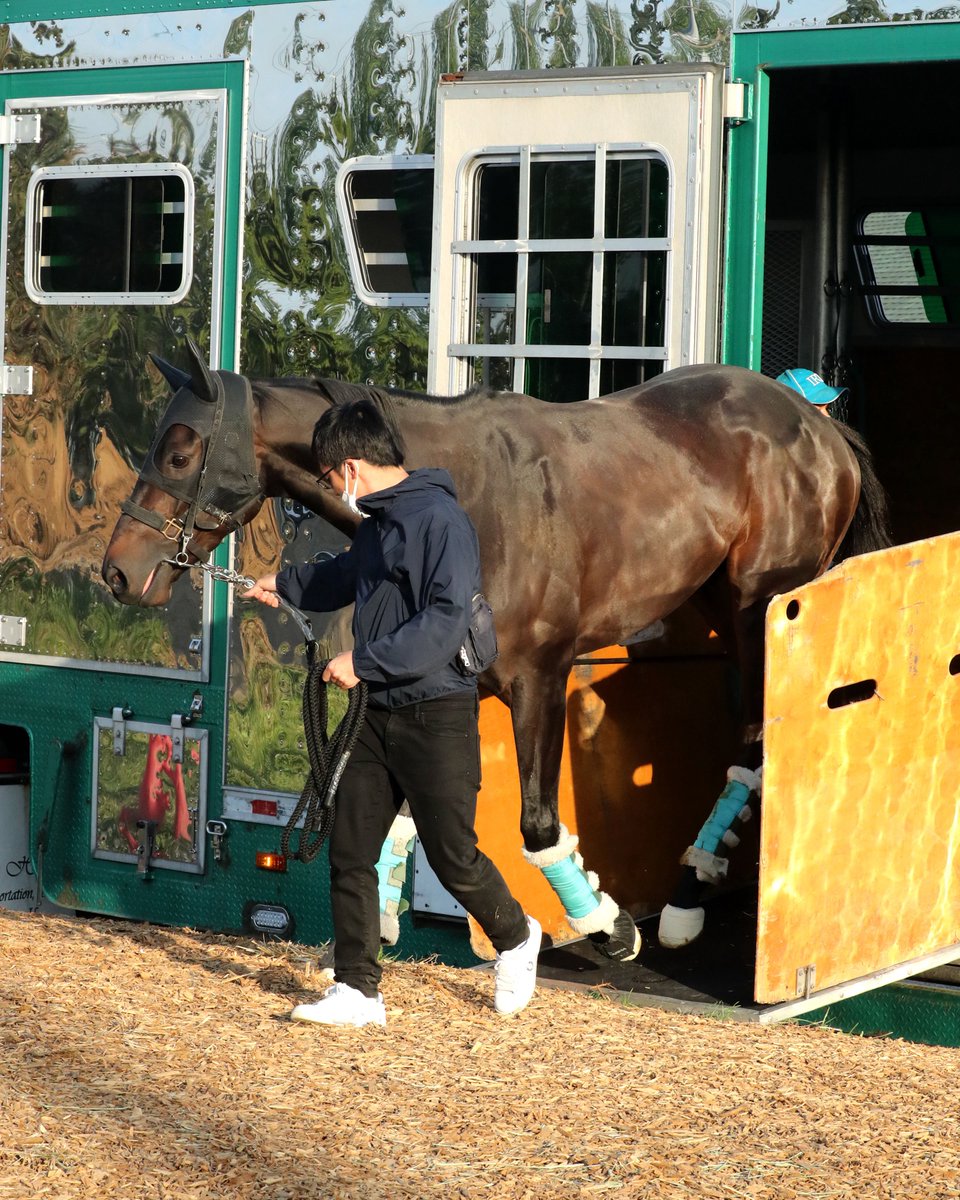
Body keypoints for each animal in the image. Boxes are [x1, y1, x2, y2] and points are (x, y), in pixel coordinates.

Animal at [101, 340, 891, 958]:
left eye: (180, 450)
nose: (118, 573)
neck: (467, 498)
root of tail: (815, 425)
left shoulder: (539, 679)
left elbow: (538, 826)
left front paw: (605, 924)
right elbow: (404, 814)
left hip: (765, 609)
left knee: (757, 743)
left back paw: (684, 901)